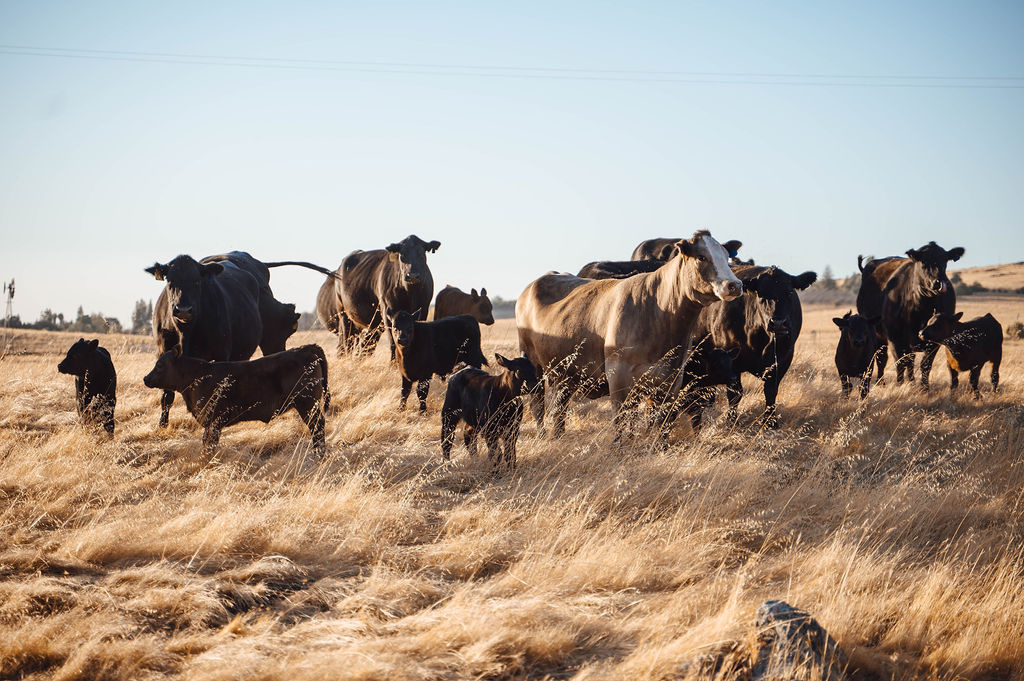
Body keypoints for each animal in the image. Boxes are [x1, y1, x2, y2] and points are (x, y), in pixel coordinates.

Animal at [142, 344, 329, 455]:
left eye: (160, 365)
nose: (146, 378)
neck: (199, 376)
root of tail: (305, 349)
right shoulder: (209, 422)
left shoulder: (215, 420)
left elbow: (210, 443)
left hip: (307, 404)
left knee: (317, 426)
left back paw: (318, 453)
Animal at [146, 251, 333, 428]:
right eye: (170, 281)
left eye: (197, 281)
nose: (183, 310)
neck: (186, 331)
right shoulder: (164, 352)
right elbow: (166, 394)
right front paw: (162, 426)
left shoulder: (221, 354)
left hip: (270, 342)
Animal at [516, 231, 743, 439]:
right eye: (702, 257)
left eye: (726, 256)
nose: (735, 285)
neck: (658, 312)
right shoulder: (618, 377)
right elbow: (622, 422)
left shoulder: (670, 380)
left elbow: (660, 425)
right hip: (533, 365)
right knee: (538, 406)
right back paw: (543, 435)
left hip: (564, 374)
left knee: (559, 408)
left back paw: (558, 435)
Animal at [691, 264, 817, 428]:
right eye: (761, 295)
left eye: (789, 292)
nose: (778, 323)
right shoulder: (731, 360)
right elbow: (735, 393)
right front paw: (731, 421)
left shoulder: (782, 360)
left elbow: (771, 391)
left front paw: (771, 423)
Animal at [856, 242, 964, 389]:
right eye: (923, 261)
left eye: (945, 260)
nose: (938, 283)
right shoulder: (895, 337)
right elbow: (900, 363)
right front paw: (900, 385)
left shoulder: (934, 341)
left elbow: (925, 364)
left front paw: (924, 388)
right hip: (879, 334)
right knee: (882, 358)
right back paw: (881, 382)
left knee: (909, 360)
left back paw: (910, 381)